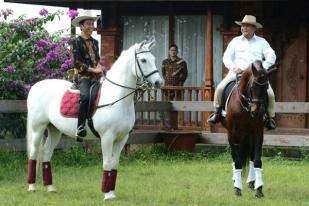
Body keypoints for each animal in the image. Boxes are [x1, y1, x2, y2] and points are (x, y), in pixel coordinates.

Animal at [25, 39, 164, 200]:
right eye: (143, 60)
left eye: (153, 58)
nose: (159, 82)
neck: (116, 97)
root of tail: (35, 86)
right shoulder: (107, 138)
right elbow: (107, 163)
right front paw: (107, 195)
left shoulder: (122, 138)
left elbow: (114, 164)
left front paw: (112, 193)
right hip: (38, 128)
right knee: (34, 153)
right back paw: (32, 187)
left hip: (54, 130)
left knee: (46, 154)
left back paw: (50, 188)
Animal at [220, 60, 276, 198]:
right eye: (252, 86)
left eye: (266, 87)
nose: (256, 112)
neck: (245, 105)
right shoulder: (234, 133)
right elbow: (237, 161)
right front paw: (237, 189)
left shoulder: (257, 132)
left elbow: (256, 160)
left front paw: (259, 189)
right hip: (232, 134)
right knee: (235, 156)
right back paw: (236, 180)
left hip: (248, 135)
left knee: (250, 157)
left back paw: (251, 182)